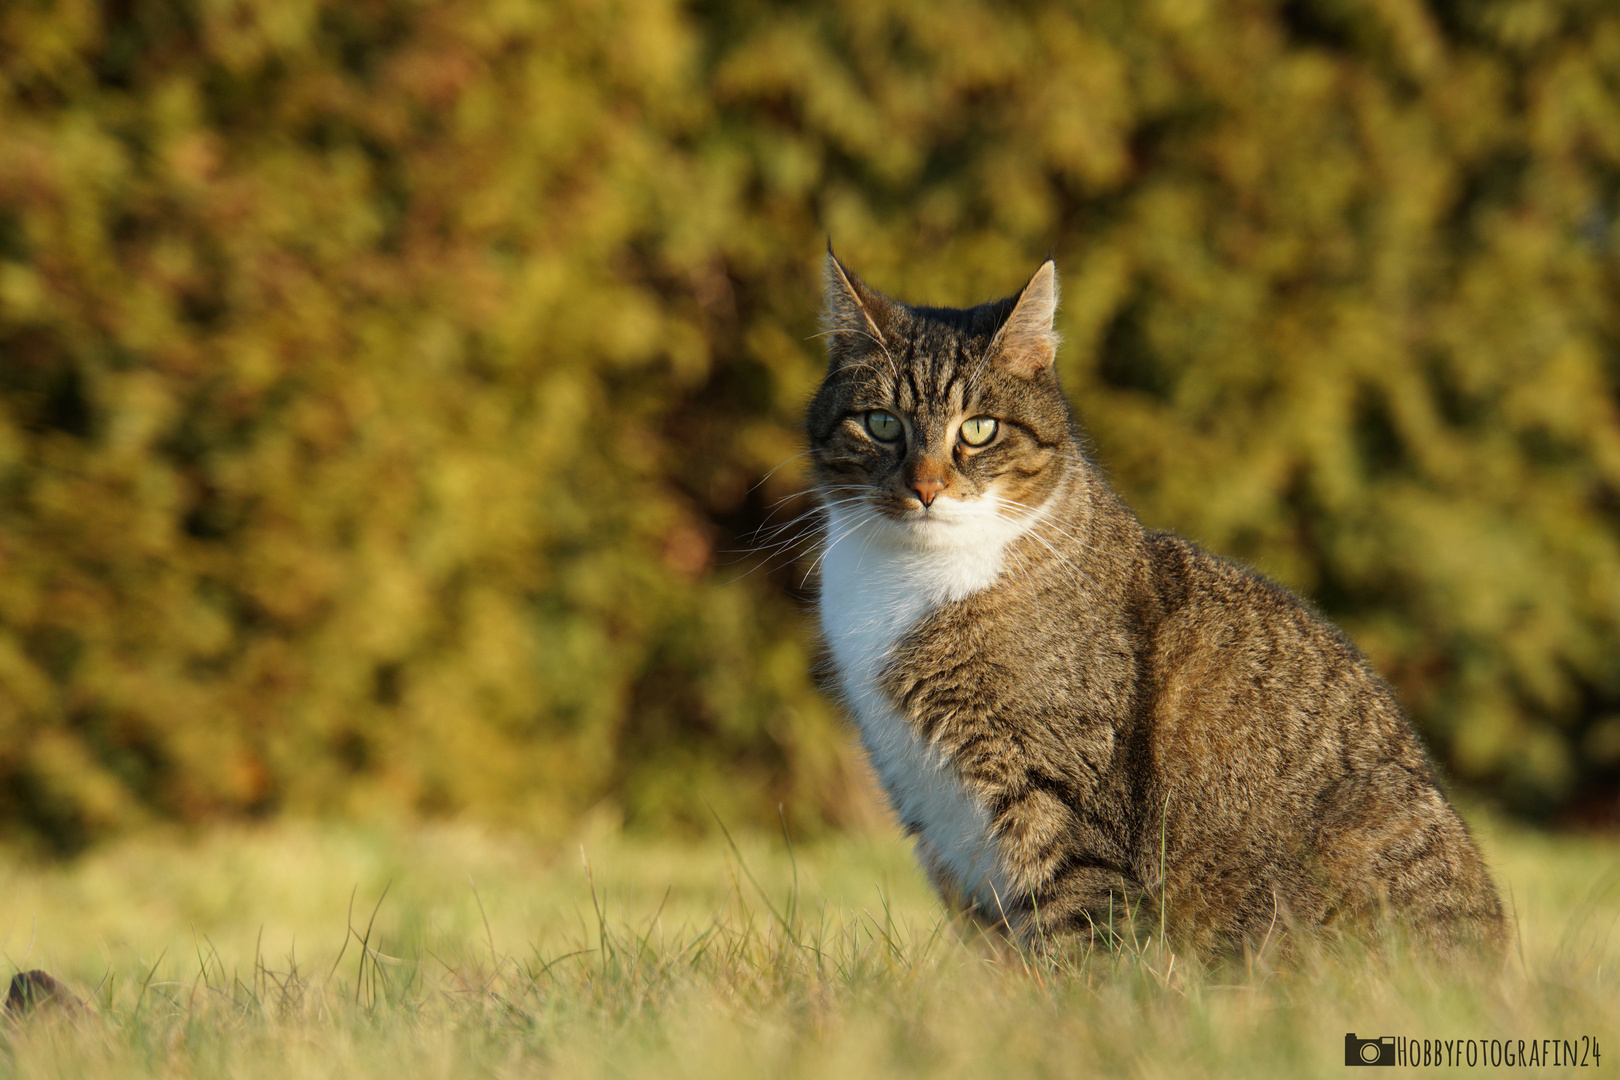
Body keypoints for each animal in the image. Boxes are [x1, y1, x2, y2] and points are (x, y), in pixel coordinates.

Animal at [810, 250, 1503, 952]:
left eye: (978, 429)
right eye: (882, 424)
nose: (925, 487)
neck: (910, 577)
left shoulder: (1060, 802)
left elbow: (1079, 939)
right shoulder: (933, 810)